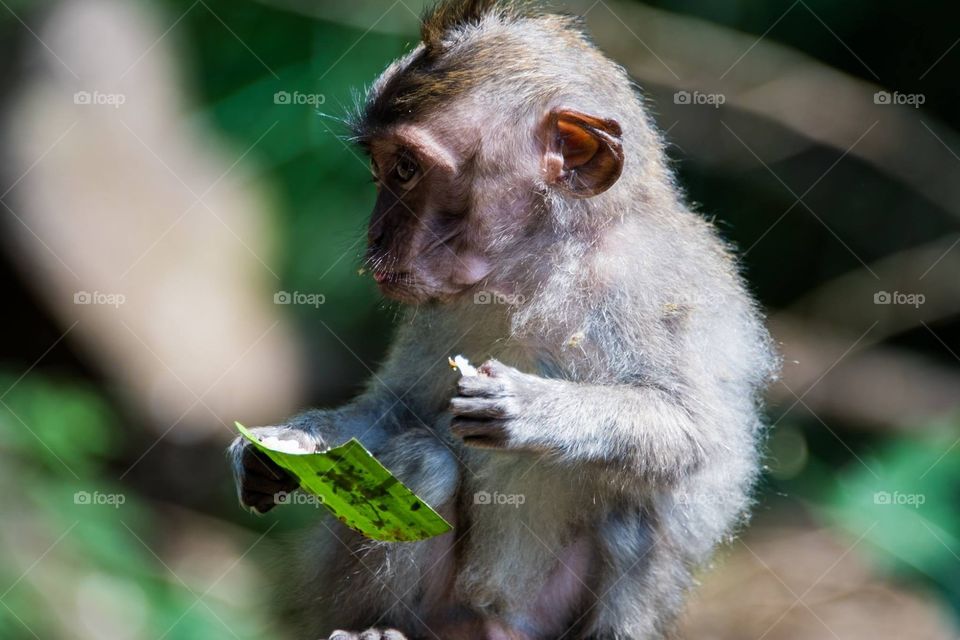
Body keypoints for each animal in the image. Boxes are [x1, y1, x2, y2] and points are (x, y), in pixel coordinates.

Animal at [230, 1, 778, 638]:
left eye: (406, 169)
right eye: (381, 168)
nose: (375, 237)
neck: (539, 264)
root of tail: (495, 620)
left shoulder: (655, 284)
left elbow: (698, 434)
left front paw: (532, 408)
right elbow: (397, 408)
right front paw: (281, 446)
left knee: (637, 517)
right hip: (443, 610)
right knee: (422, 462)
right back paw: (377, 626)